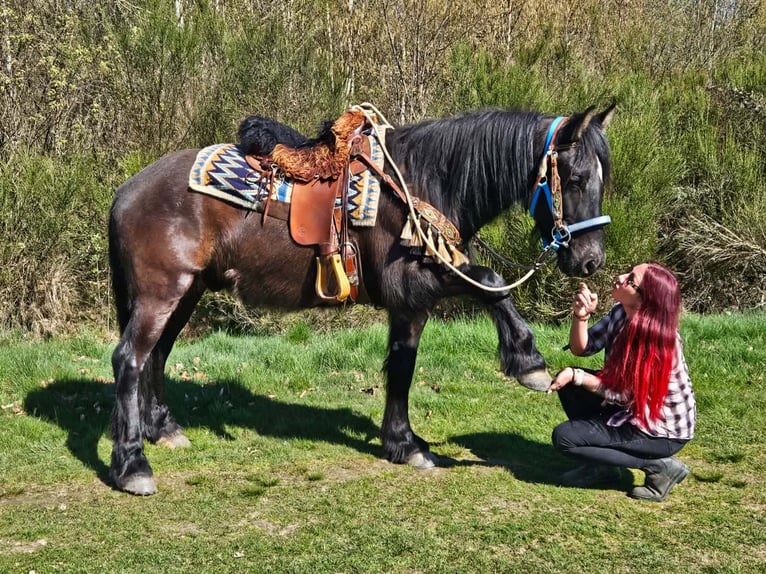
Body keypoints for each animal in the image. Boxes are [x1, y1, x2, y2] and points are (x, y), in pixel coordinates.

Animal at [108, 104, 615, 494]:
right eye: (575, 177)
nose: (591, 260)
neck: (422, 184)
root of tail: (127, 190)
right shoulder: (414, 281)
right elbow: (492, 281)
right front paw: (528, 361)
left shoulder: (410, 306)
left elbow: (403, 368)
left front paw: (403, 443)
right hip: (160, 293)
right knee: (129, 359)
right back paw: (132, 465)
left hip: (185, 293)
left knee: (156, 355)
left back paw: (163, 430)